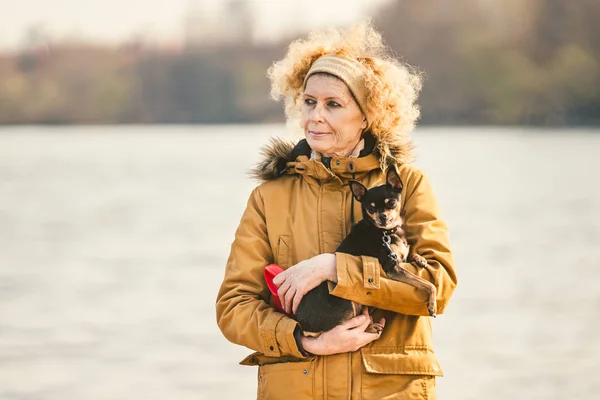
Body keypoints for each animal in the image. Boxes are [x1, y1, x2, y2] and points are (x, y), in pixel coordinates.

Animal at [294, 168, 436, 334]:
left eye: (391, 202)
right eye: (371, 208)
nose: (382, 216)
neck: (386, 232)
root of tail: (301, 324)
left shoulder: (399, 259)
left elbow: (409, 254)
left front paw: (420, 258)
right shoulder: (393, 268)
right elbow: (427, 283)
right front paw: (432, 304)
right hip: (346, 303)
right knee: (346, 327)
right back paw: (370, 327)